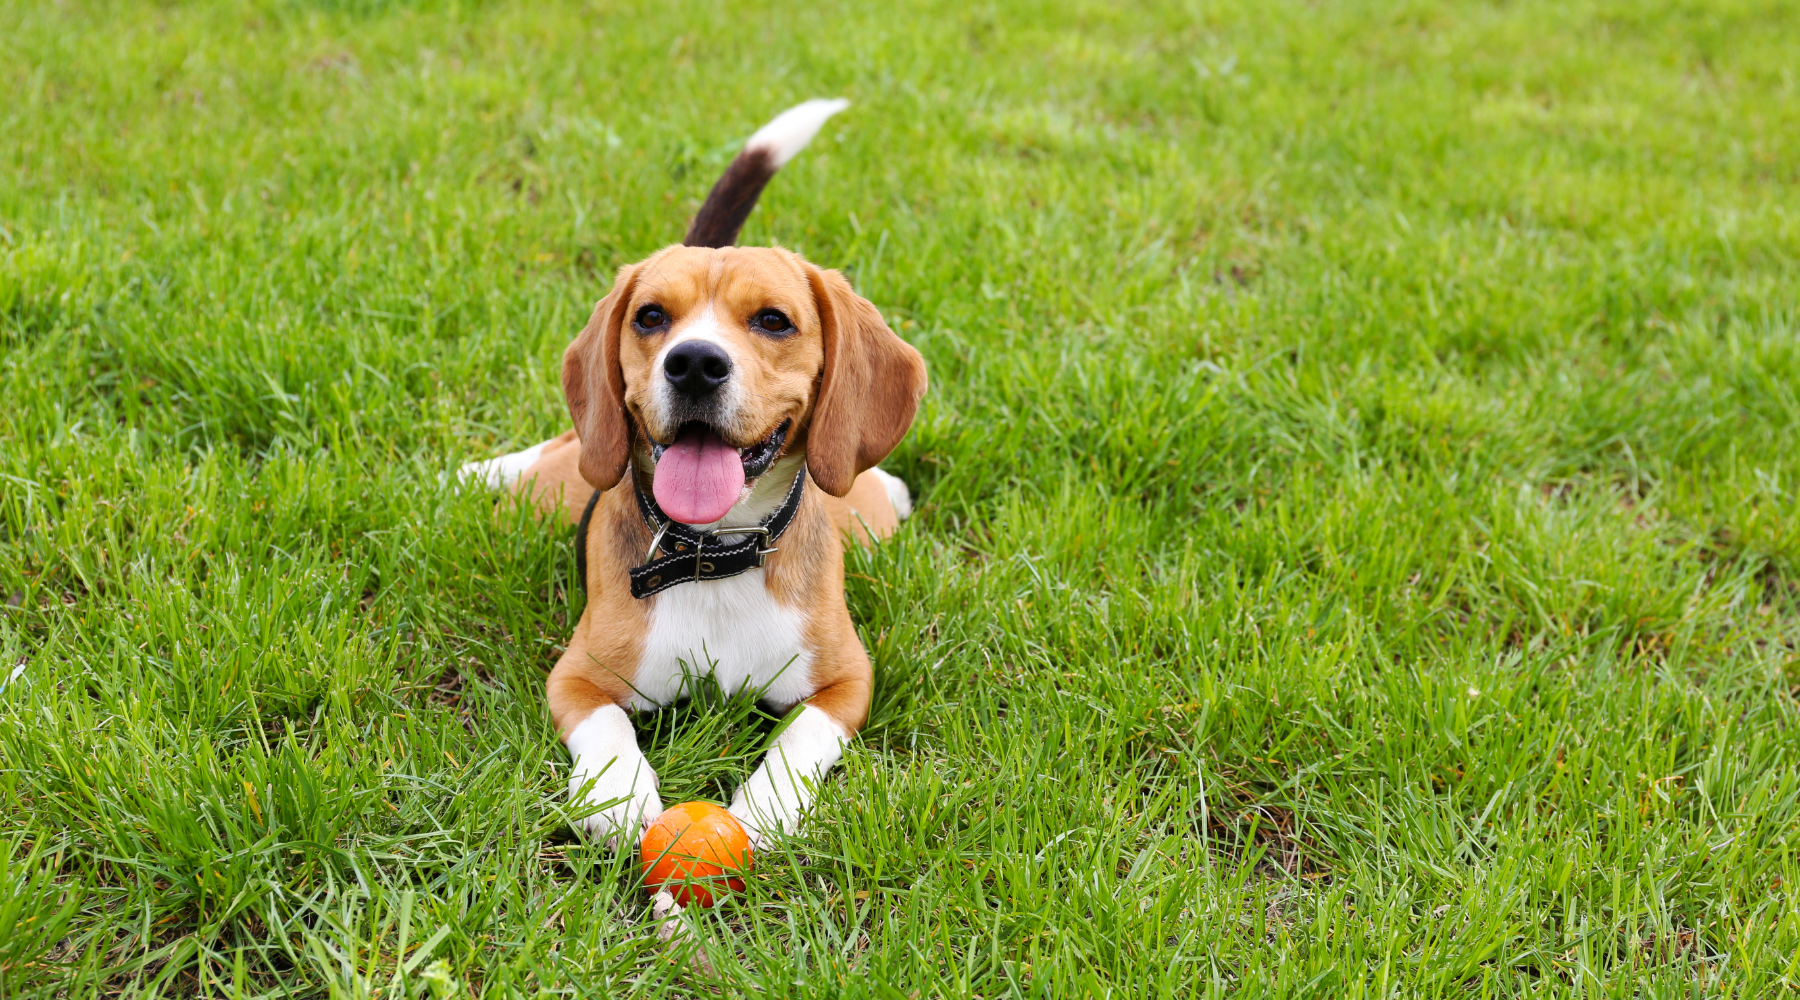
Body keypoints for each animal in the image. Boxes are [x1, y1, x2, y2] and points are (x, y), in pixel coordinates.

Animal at [464, 99, 928, 845]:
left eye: (774, 321)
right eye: (651, 316)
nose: (694, 364)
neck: (716, 553)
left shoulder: (848, 684)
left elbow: (799, 739)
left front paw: (766, 810)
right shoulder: (577, 676)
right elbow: (607, 724)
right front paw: (618, 792)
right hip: (566, 474)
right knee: (553, 452)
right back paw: (474, 473)